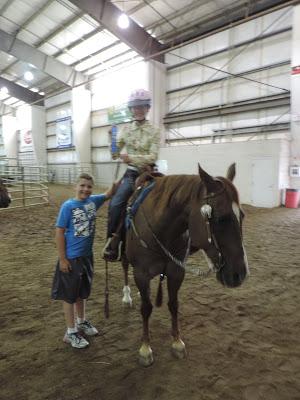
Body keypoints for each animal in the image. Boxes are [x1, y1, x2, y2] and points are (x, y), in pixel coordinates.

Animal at [122, 163, 248, 366]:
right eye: (221, 218)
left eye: (242, 216)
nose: (240, 274)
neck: (160, 230)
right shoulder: (141, 274)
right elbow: (146, 308)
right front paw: (145, 349)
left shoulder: (176, 271)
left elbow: (173, 304)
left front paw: (177, 343)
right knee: (125, 266)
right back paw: (126, 297)